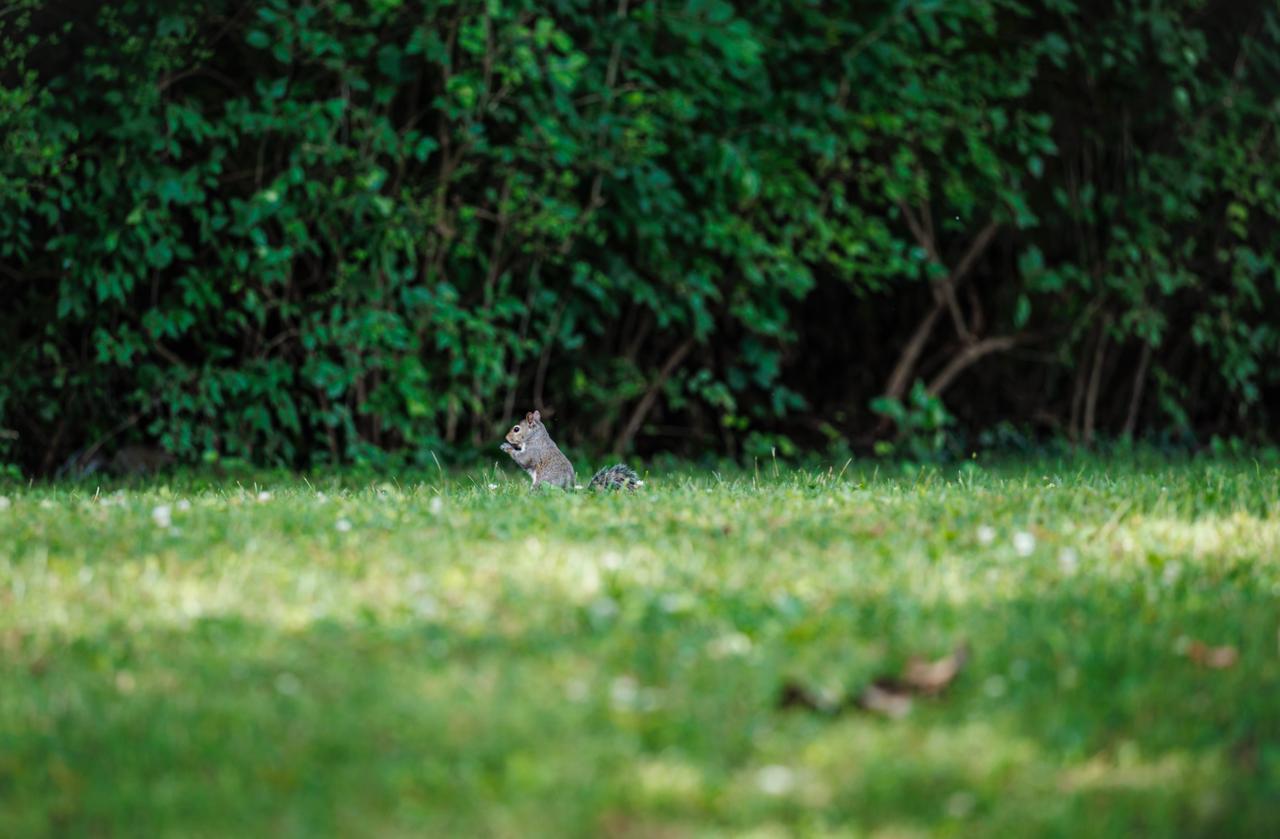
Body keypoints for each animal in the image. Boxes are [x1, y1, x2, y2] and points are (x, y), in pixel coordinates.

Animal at [500, 410, 642, 491]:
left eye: (516, 429)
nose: (506, 437)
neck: (535, 436)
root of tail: (570, 490)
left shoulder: (533, 452)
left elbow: (523, 460)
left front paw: (507, 447)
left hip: (541, 484)